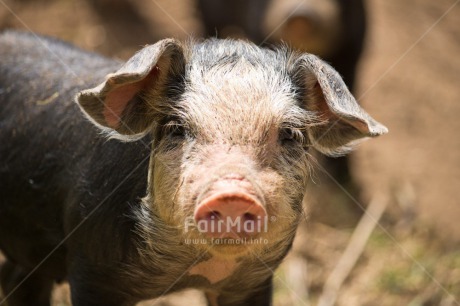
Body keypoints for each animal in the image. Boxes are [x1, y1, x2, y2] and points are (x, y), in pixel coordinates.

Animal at [0, 31, 386, 306]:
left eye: (289, 134)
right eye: (176, 128)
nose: (232, 192)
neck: (191, 271)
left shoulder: (253, 283)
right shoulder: (90, 268)